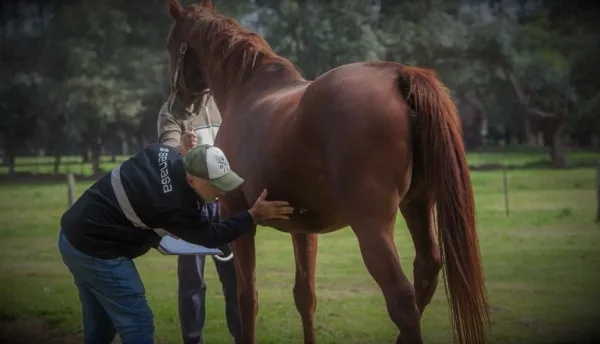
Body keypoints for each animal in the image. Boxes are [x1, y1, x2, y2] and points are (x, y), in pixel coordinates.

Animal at [163, 0, 488, 344]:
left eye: (171, 43)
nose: (177, 107)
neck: (248, 91)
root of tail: (399, 76)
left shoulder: (236, 214)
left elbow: (247, 298)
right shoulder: (303, 228)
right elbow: (305, 296)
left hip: (372, 225)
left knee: (402, 299)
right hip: (418, 204)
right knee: (425, 271)